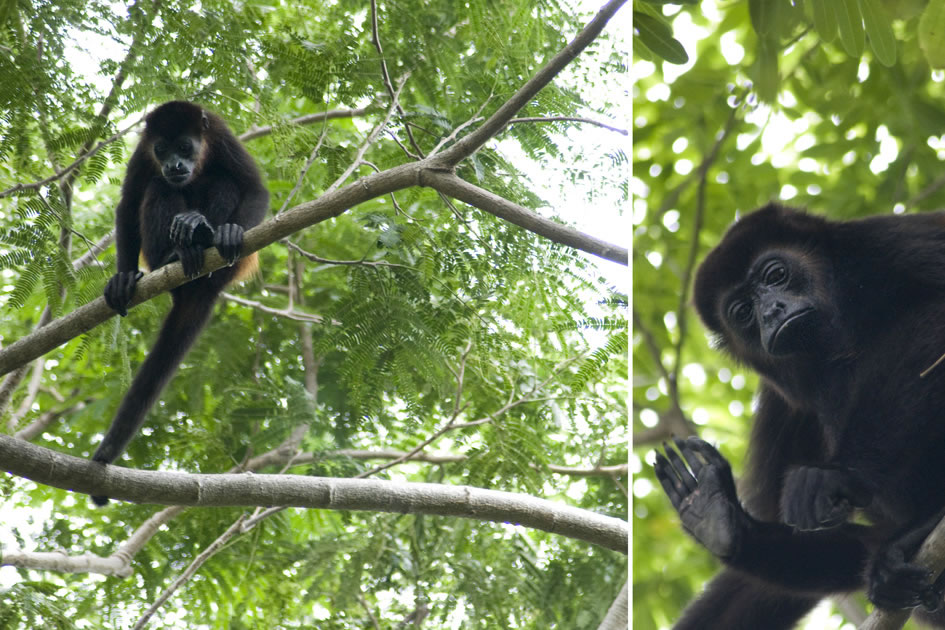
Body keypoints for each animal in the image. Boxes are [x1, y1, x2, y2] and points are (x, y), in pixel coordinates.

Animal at [92, 101, 268, 506]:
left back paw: (206, 236)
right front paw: (123, 277)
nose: (174, 165)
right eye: (162, 150)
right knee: (157, 188)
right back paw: (175, 254)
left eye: (185, 147)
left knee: (223, 181)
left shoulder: (221, 135)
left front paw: (230, 231)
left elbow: (253, 187)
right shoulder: (141, 154)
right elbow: (128, 205)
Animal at [652, 205, 945, 628]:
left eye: (775, 275)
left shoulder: (896, 245)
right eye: (742, 312)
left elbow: (934, 316)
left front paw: (836, 475)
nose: (771, 310)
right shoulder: (780, 403)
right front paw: (724, 520)